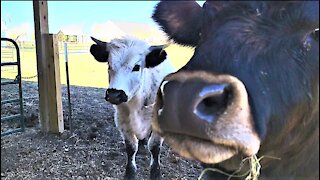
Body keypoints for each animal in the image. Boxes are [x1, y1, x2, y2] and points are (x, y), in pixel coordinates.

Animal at [89, 35, 175, 179]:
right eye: (109, 64)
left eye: (136, 67)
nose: (114, 94)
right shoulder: (122, 121)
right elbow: (131, 148)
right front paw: (130, 173)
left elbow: (155, 147)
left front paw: (155, 172)